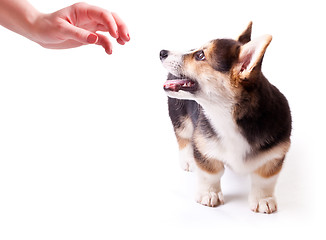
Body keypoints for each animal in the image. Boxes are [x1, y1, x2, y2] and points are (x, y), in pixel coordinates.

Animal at [159, 22, 292, 214]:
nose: (162, 52)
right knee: (183, 137)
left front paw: (263, 200)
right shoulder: (204, 147)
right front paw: (209, 194)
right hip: (180, 117)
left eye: (200, 55)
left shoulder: (273, 156)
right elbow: (210, 174)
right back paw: (188, 160)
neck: (226, 116)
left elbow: (264, 181)